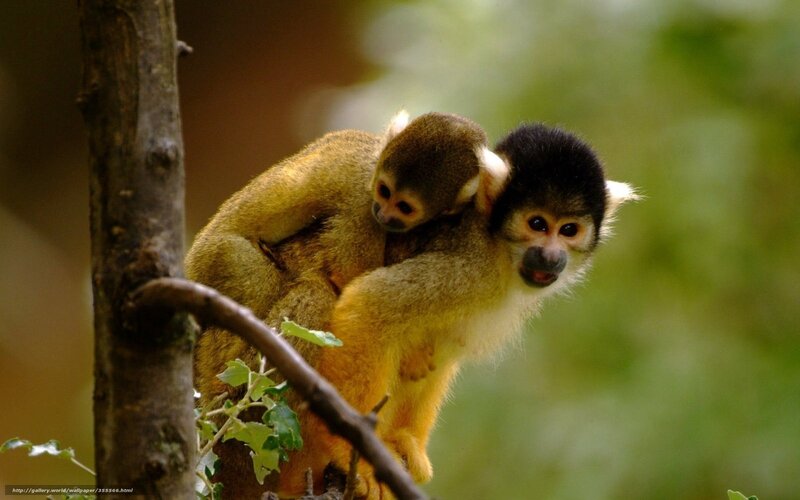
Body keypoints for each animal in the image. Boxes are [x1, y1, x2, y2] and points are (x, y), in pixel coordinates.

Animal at [185, 111, 502, 497]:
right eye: (384, 192)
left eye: (405, 206)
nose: (385, 213)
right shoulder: (360, 203)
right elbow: (349, 277)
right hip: (223, 276)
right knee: (305, 295)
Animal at [277, 123, 638, 499]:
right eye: (537, 224)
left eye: (569, 230)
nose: (551, 257)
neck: (498, 249)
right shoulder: (469, 268)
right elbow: (369, 304)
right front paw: (350, 449)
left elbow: (437, 353)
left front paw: (403, 442)